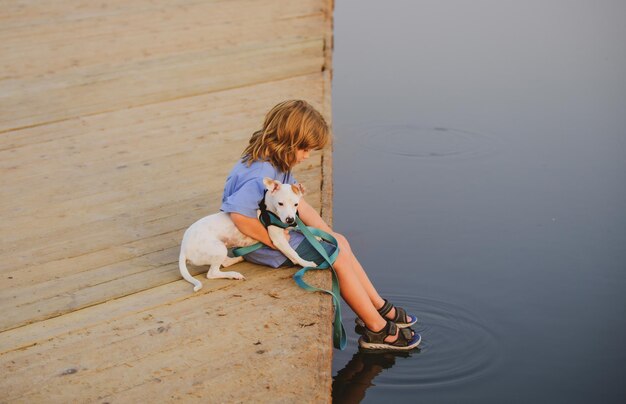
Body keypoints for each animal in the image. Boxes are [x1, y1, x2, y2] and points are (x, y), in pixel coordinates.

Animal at [179, 177, 316, 290]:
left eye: (296, 204)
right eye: (280, 203)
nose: (290, 219)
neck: (268, 210)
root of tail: (183, 249)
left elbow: (304, 228)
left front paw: (315, 236)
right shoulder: (279, 239)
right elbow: (294, 254)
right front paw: (307, 263)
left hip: (220, 249)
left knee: (224, 263)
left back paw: (238, 259)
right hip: (218, 248)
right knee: (212, 273)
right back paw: (234, 274)